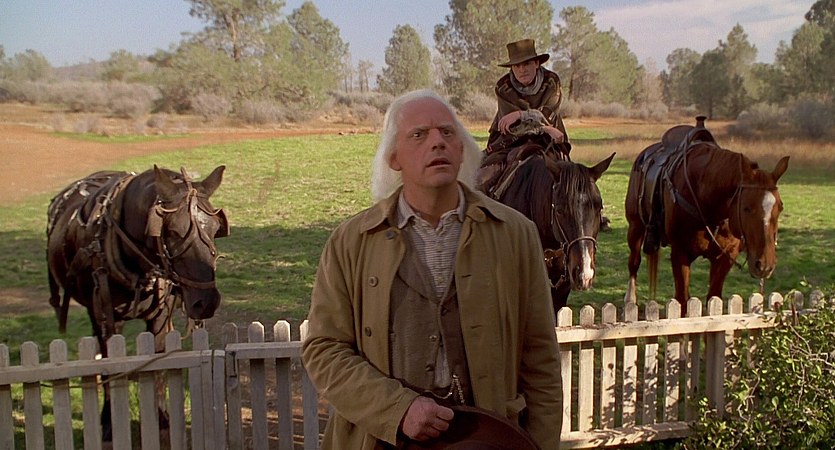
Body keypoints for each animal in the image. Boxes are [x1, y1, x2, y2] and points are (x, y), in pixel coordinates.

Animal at [46, 164, 229, 440]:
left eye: (215, 228)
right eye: (172, 231)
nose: (206, 302)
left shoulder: (160, 317)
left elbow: (159, 362)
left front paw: (162, 416)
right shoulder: (108, 318)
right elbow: (112, 363)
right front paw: (109, 421)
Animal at [624, 116, 789, 313]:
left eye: (780, 207)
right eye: (746, 208)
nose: (764, 265)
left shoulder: (725, 257)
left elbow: (713, 298)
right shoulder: (680, 253)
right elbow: (683, 301)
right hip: (635, 226)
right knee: (634, 262)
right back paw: (630, 300)